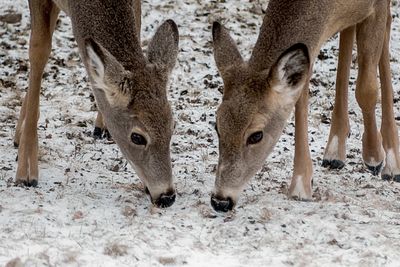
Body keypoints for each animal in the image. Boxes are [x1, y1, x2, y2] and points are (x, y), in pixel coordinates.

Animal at [12, 0, 178, 209]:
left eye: (172, 126)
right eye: (137, 137)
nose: (167, 196)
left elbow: (137, 26)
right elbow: (39, 49)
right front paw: (25, 170)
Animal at [211, 0, 398, 214]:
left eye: (256, 135)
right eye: (217, 126)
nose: (220, 201)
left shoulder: (377, 6)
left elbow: (366, 88)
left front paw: (374, 156)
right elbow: (300, 96)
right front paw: (300, 185)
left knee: (386, 27)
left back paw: (391, 162)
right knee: (349, 31)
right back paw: (335, 151)